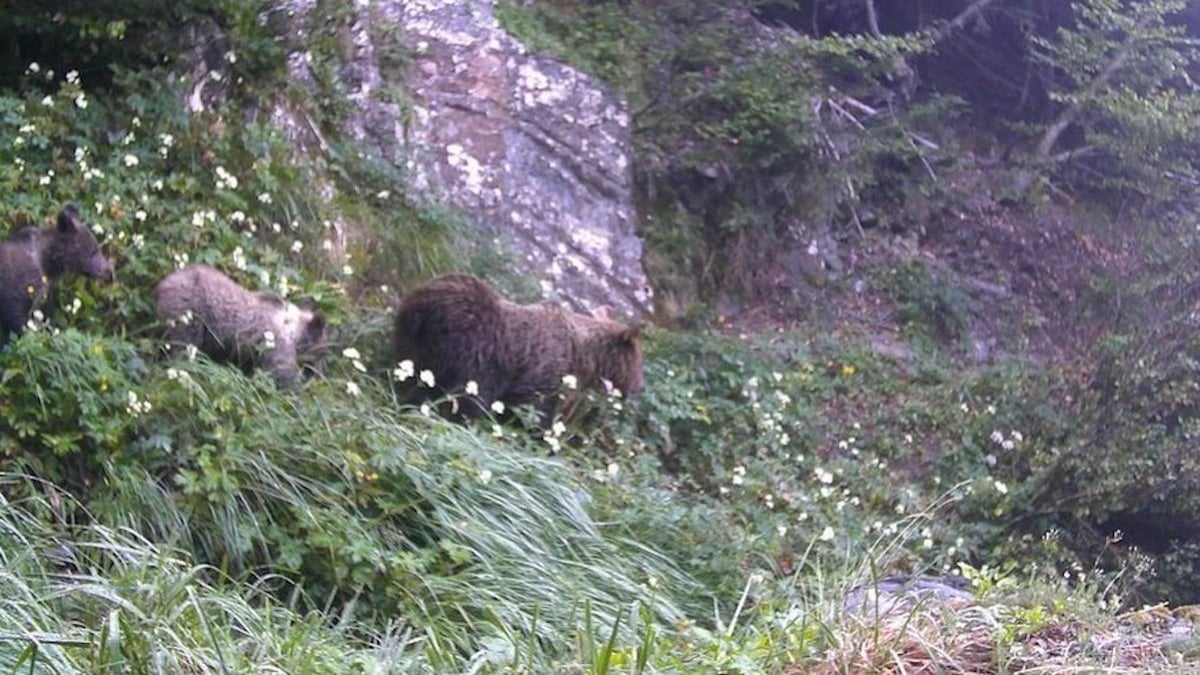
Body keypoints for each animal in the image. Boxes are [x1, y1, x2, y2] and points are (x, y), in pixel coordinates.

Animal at [158, 265, 333, 386]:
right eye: (322, 351)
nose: (320, 376)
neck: (294, 333)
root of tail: (162, 284)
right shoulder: (277, 343)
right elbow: (282, 371)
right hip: (188, 315)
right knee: (182, 347)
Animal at [391, 271, 648, 420]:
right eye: (639, 361)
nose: (640, 386)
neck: (586, 358)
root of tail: (425, 309)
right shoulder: (546, 372)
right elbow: (534, 409)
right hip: (474, 352)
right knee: (467, 397)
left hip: (409, 338)